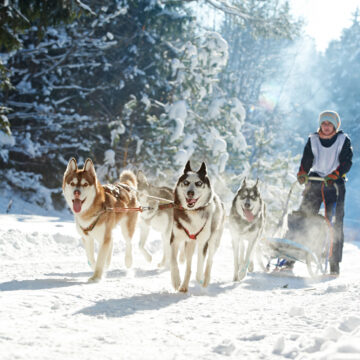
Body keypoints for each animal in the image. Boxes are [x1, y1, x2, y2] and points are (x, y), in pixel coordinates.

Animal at [169, 161, 225, 292]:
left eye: (199, 183)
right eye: (186, 182)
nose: (190, 192)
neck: (193, 212)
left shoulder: (203, 242)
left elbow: (200, 263)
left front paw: (199, 277)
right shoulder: (175, 239)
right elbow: (173, 261)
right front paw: (176, 280)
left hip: (213, 241)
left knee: (209, 261)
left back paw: (205, 280)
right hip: (189, 244)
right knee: (188, 266)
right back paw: (184, 285)